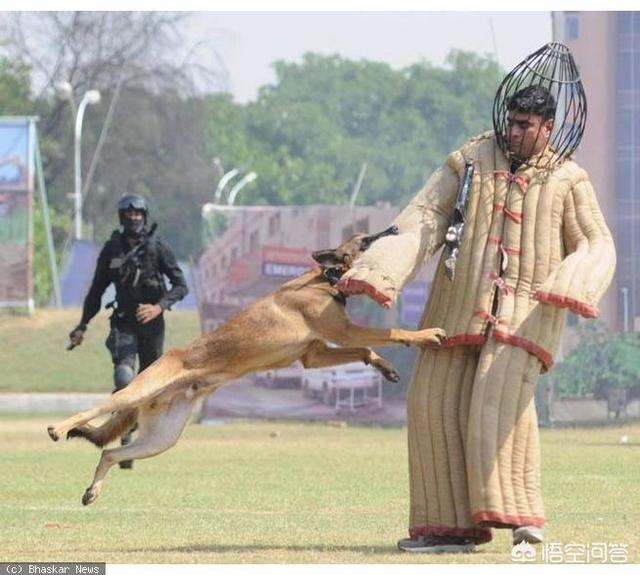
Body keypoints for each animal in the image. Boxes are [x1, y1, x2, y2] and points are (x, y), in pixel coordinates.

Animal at [47, 225, 444, 504]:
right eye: (364, 241)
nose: (394, 228)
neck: (326, 279)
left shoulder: (314, 353)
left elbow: (364, 350)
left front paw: (386, 367)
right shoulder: (342, 332)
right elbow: (390, 332)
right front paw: (425, 334)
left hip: (162, 439)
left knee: (111, 451)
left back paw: (93, 490)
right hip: (136, 391)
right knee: (95, 410)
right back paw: (58, 428)